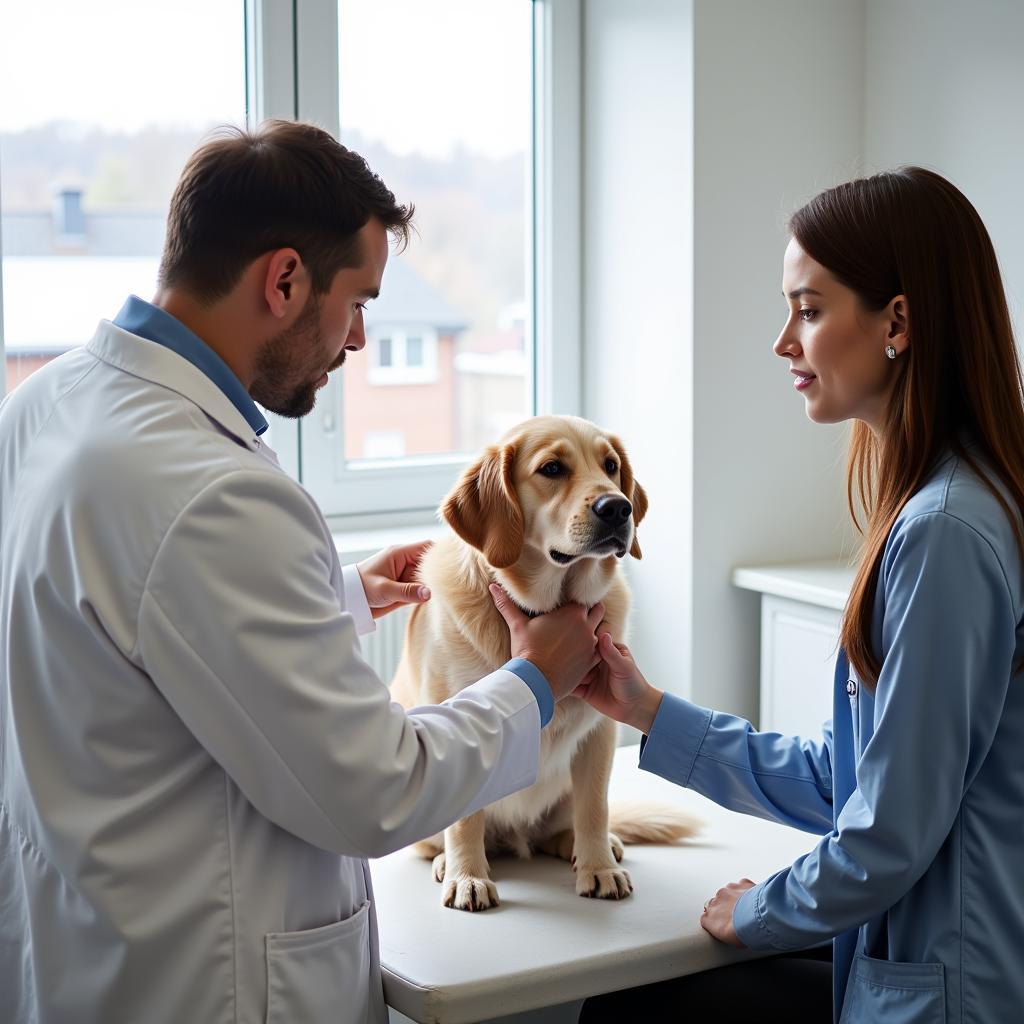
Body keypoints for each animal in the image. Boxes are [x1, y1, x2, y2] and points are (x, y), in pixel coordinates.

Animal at [387, 415, 700, 913]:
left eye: (611, 466)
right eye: (552, 468)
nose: (619, 508)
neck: (546, 609)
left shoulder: (599, 731)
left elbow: (595, 808)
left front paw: (598, 868)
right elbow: (466, 820)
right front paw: (467, 876)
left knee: (574, 823)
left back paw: (592, 846)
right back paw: (446, 861)